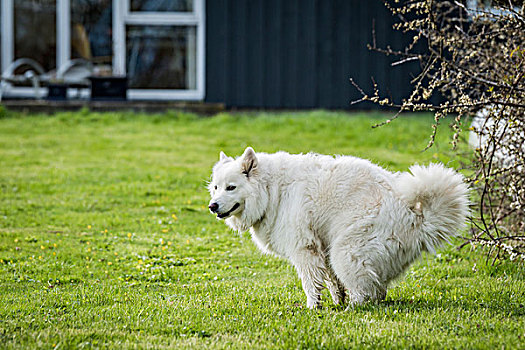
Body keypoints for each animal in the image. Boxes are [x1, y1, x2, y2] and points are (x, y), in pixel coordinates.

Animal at [207, 148, 468, 308]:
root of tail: (416, 217)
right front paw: (336, 301)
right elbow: (333, 283)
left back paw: (352, 310)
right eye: (216, 187)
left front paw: (314, 308)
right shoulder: (323, 248)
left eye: (231, 187)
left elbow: (311, 284)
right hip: (344, 253)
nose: (212, 206)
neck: (273, 191)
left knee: (364, 294)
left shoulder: (305, 250)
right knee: (377, 291)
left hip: (346, 252)